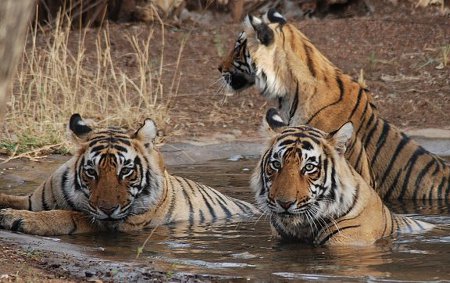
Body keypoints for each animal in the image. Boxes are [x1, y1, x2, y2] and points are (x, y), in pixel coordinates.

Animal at [0, 114, 258, 236]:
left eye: (125, 171)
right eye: (91, 172)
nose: (107, 209)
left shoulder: (113, 223)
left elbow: (69, 215)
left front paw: (17, 218)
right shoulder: (31, 200)